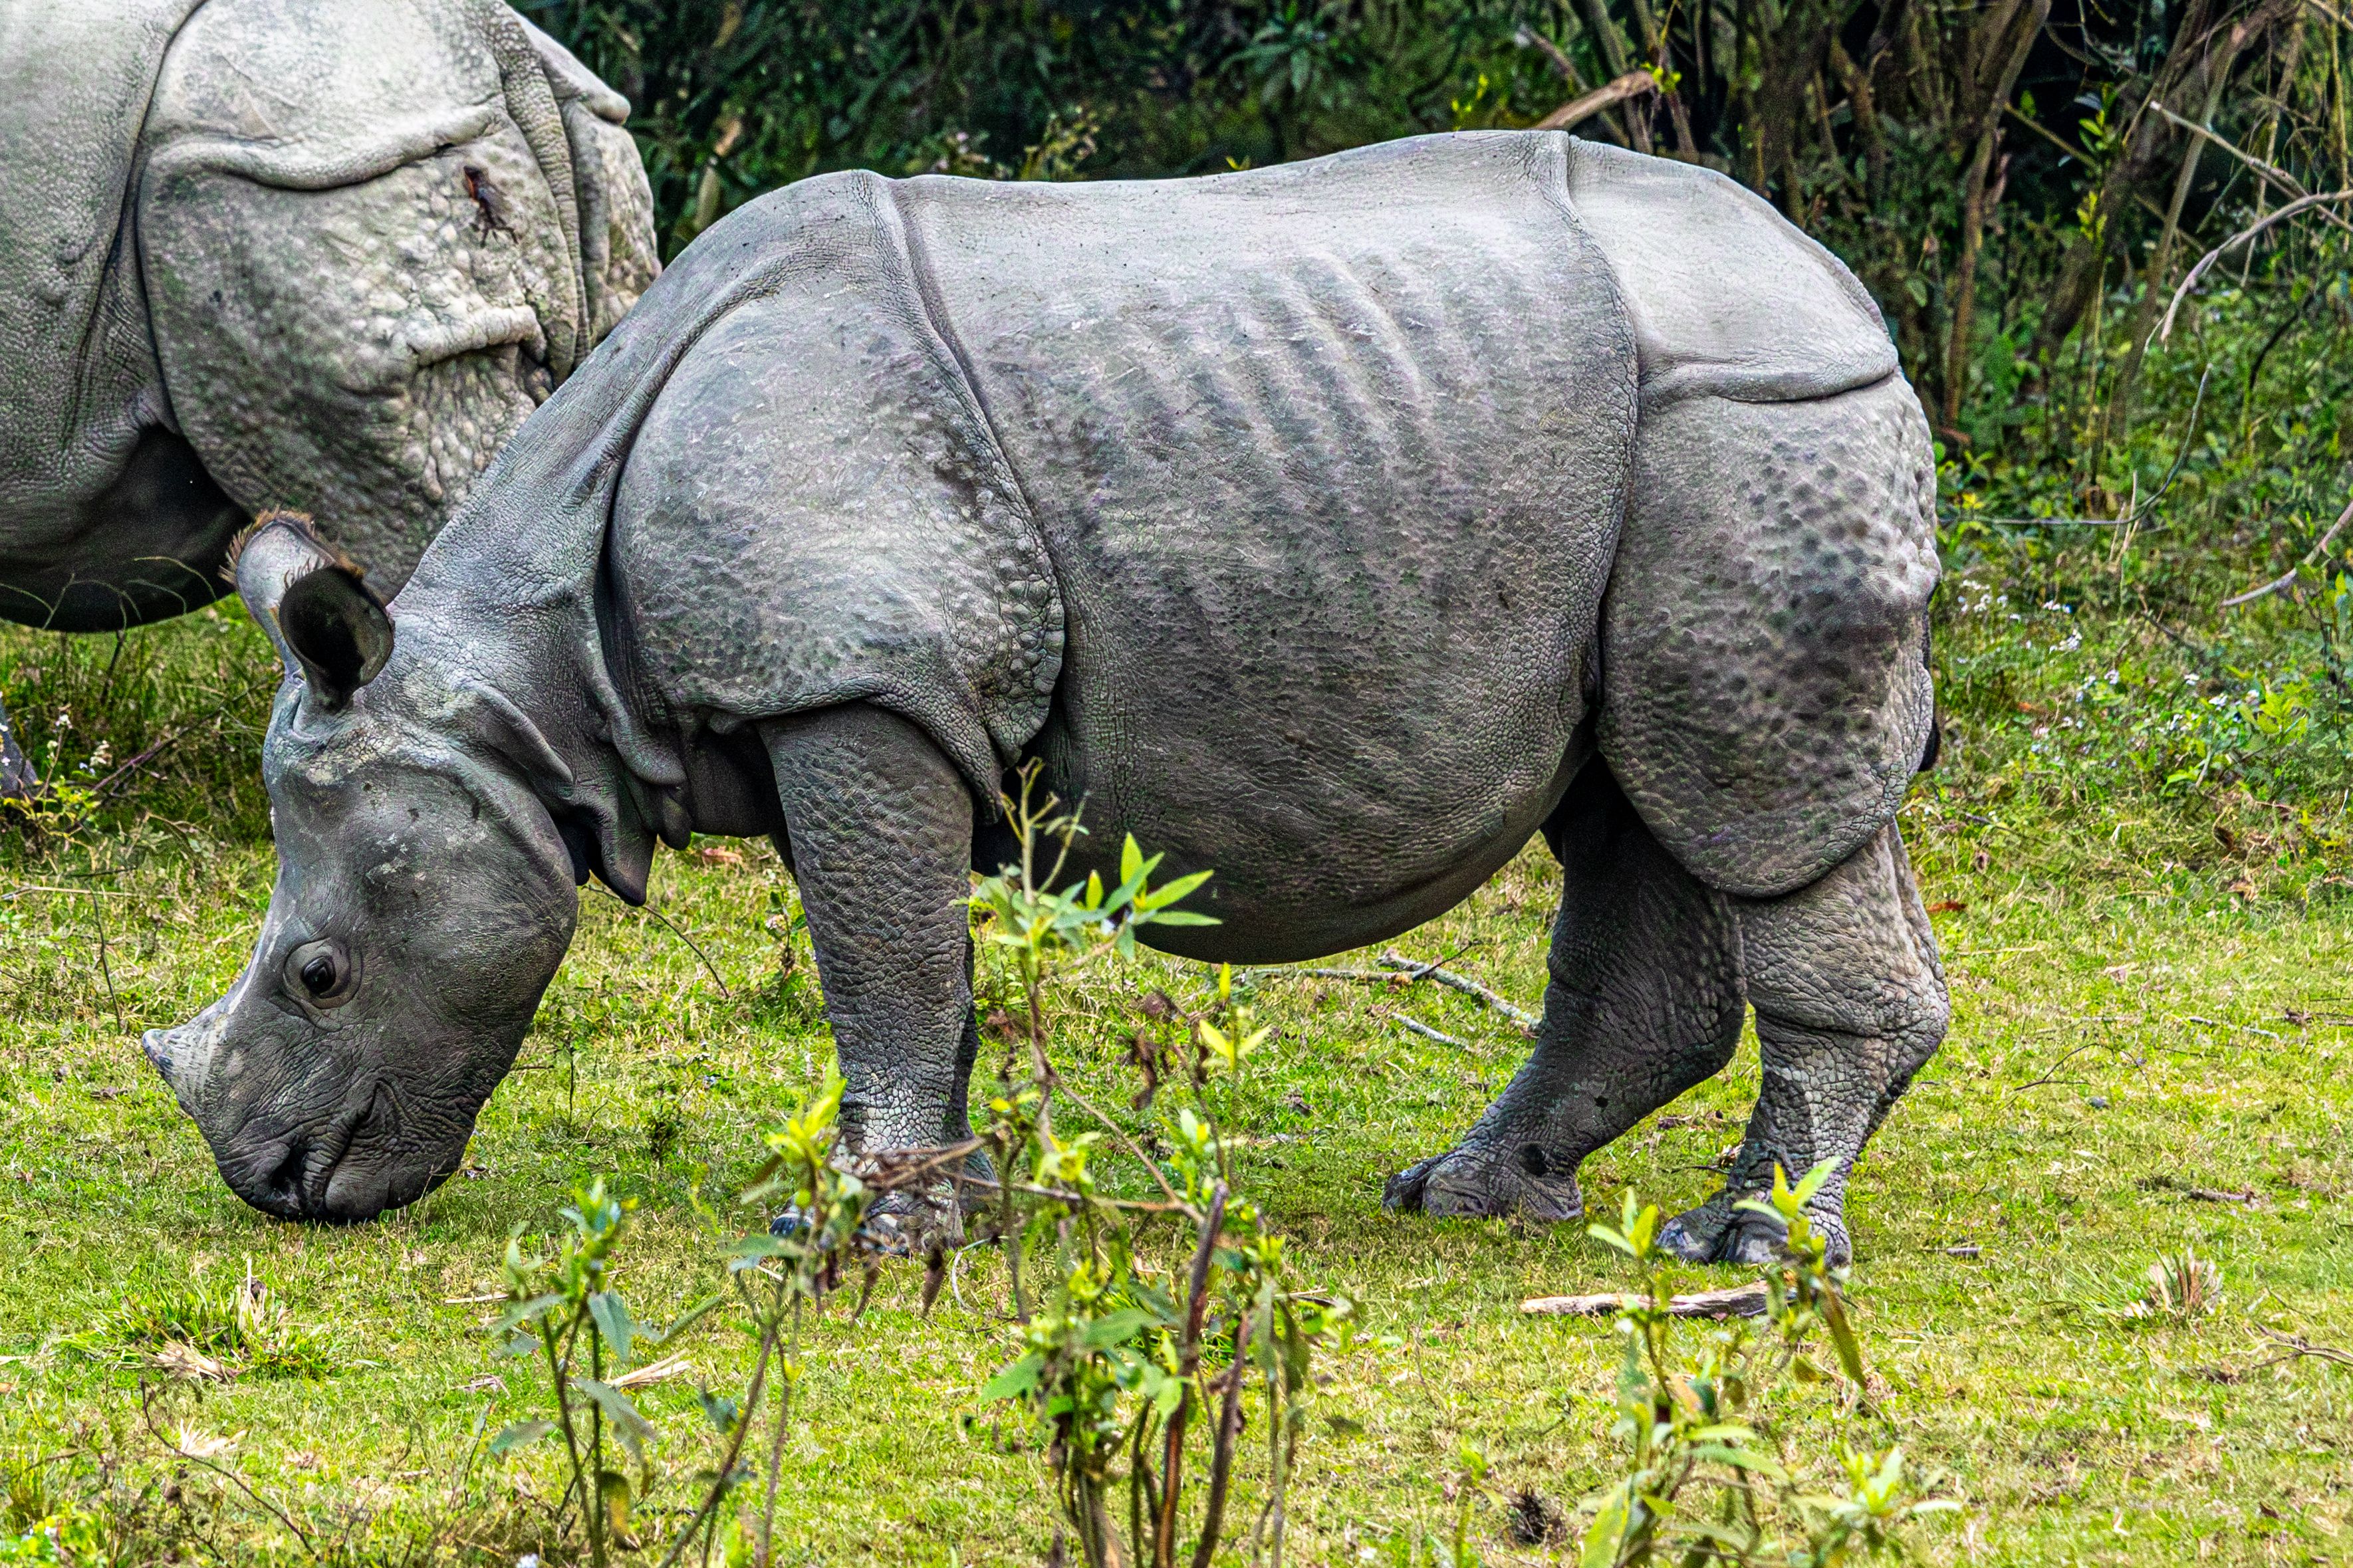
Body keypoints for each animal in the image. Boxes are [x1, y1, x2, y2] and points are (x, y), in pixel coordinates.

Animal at [144, 132, 1948, 1264]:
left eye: (316, 976)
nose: (271, 1184)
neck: (529, 699)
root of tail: (1844, 293)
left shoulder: (849, 684)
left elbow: (877, 966)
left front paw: (856, 1236)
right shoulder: (861, 695)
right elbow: (912, 971)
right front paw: (935, 1210)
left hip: (1755, 428)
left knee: (1756, 810)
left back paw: (1741, 1249)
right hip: (1669, 450)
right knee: (1639, 807)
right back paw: (1465, 1195)